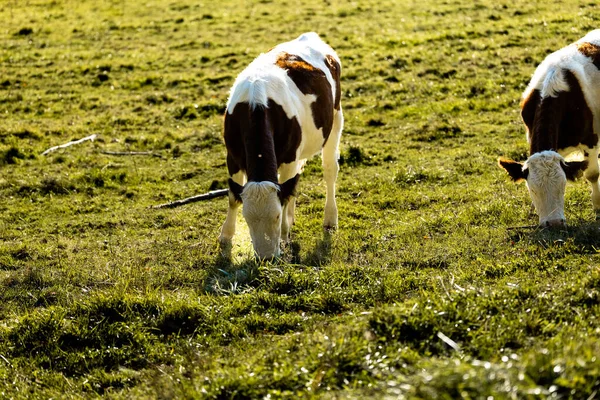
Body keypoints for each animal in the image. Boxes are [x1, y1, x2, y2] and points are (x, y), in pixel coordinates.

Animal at [219, 32, 342, 260]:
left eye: (276, 216)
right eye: (247, 219)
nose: (266, 258)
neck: (256, 104)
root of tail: (309, 36)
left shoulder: (289, 157)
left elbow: (284, 197)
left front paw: (284, 236)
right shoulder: (232, 156)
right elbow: (233, 197)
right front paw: (226, 236)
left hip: (336, 119)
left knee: (330, 171)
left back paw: (330, 219)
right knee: (294, 182)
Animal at [496, 29, 600, 227]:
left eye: (563, 186)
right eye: (532, 190)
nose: (554, 223)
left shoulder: (591, 139)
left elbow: (592, 174)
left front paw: (598, 206)